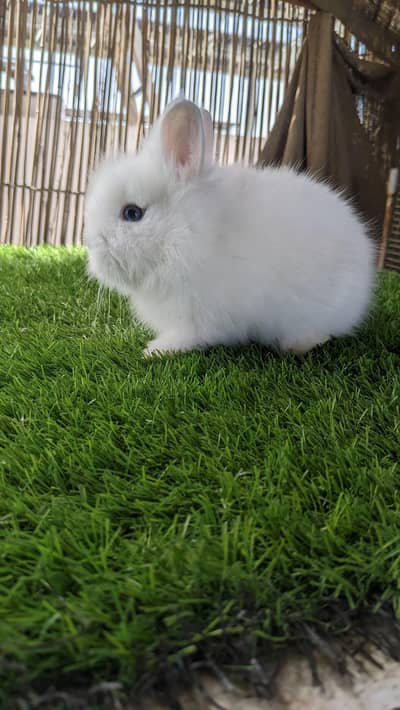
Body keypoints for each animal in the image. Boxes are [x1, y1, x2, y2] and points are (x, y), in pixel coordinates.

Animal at [84, 97, 376, 357]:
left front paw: (155, 350)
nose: (90, 246)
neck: (189, 233)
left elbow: (190, 336)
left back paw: (298, 345)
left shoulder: (198, 317)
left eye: (132, 213)